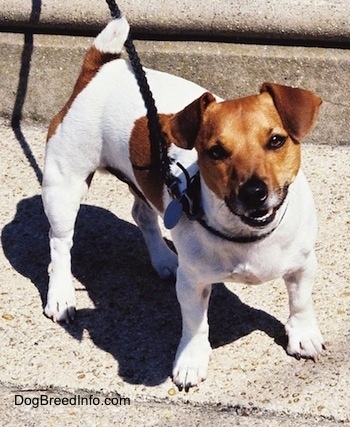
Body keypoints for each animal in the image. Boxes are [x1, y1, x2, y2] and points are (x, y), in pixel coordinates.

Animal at [42, 15, 324, 392]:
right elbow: (195, 326)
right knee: (61, 244)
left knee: (142, 215)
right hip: (64, 186)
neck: (246, 235)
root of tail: (100, 69)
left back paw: (163, 259)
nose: (254, 192)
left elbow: (301, 302)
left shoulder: (303, 265)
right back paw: (60, 295)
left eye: (276, 140)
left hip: (141, 183)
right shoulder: (193, 284)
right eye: (216, 152)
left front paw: (302, 334)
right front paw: (190, 361)